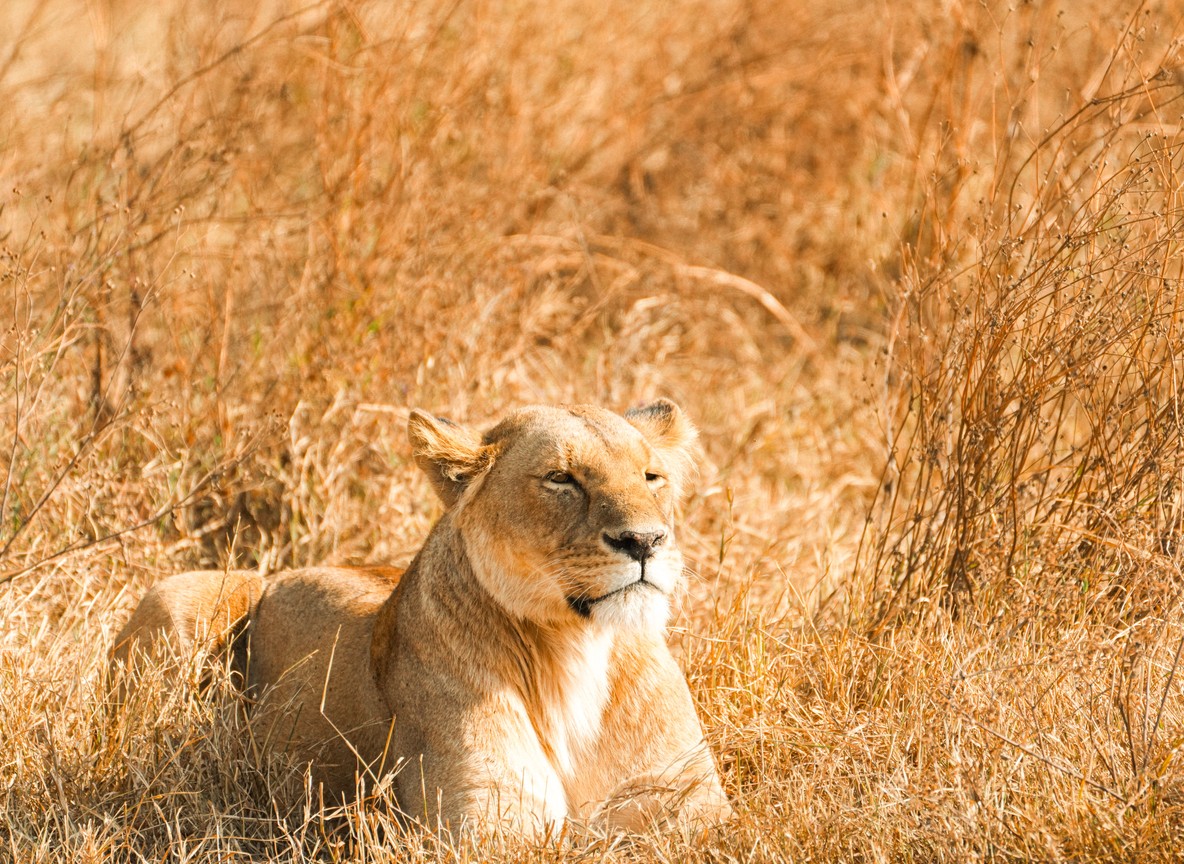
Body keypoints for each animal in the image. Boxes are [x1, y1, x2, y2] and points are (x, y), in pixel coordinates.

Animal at [111, 400, 731, 836]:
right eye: (561, 478)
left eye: (651, 477)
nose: (645, 541)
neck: (576, 645)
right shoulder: (486, 815)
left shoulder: (686, 797)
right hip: (178, 593)